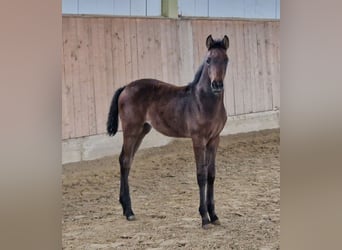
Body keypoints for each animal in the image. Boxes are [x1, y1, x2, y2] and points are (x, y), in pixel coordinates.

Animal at [107, 34, 230, 229]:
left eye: (226, 60)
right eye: (209, 60)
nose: (217, 85)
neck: (203, 101)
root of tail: (126, 87)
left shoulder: (214, 139)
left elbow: (211, 174)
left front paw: (214, 215)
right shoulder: (198, 139)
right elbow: (201, 175)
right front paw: (204, 218)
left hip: (142, 130)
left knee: (127, 160)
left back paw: (126, 208)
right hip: (131, 129)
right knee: (125, 160)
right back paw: (129, 211)